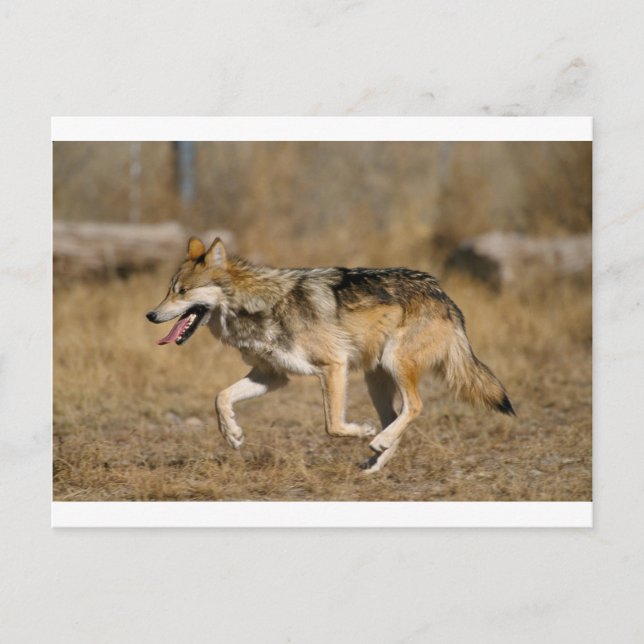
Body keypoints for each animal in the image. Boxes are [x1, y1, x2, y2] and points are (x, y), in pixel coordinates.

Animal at [146, 237, 514, 472]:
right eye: (168, 290)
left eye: (182, 292)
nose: (150, 315)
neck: (257, 305)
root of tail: (443, 295)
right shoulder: (272, 376)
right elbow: (221, 397)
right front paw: (233, 435)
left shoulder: (333, 366)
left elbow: (333, 425)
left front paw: (361, 431)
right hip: (375, 379)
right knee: (396, 416)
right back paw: (375, 461)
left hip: (393, 364)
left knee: (415, 407)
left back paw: (376, 441)